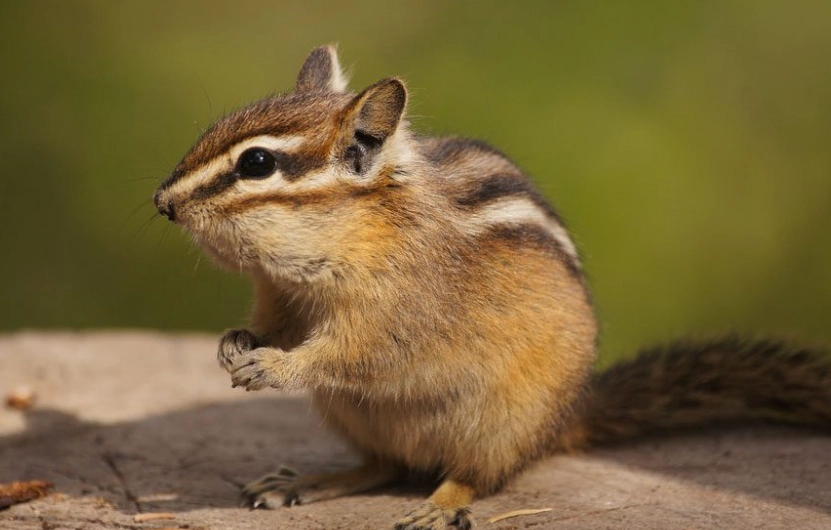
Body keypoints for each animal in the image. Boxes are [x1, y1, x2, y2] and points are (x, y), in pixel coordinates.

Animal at [153, 45, 831, 530]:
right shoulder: (278, 292)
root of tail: (564, 420)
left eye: (257, 163)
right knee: (380, 464)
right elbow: (276, 327)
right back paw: (308, 482)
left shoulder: (404, 308)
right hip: (354, 414)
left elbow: (353, 352)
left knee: (476, 474)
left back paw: (441, 503)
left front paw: (275, 366)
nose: (162, 203)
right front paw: (237, 342)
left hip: (499, 420)